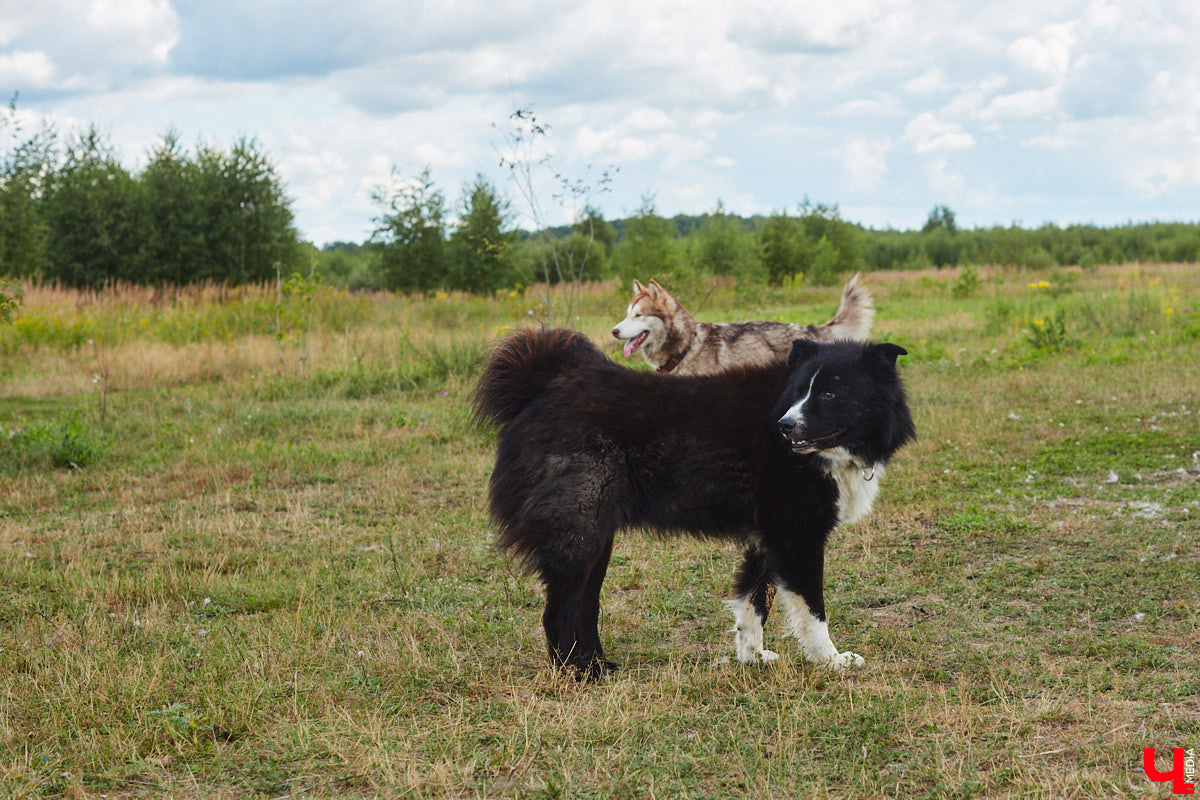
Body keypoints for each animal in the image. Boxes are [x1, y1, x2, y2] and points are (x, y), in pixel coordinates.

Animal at [472, 328, 912, 681]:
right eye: (801, 391)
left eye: (830, 392)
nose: (785, 426)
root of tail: (540, 388)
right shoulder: (795, 535)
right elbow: (811, 609)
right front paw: (832, 660)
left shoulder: (767, 537)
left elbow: (754, 603)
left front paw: (751, 657)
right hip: (579, 532)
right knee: (559, 611)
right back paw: (576, 675)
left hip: (596, 536)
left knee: (586, 604)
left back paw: (596, 665)